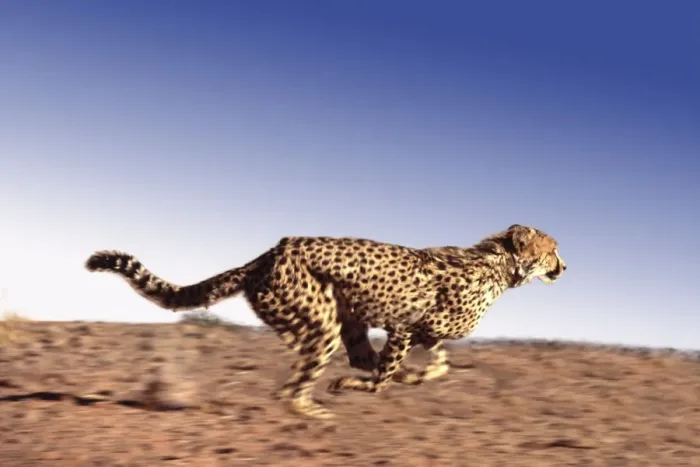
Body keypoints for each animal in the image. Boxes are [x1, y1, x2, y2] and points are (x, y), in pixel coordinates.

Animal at [85, 224, 566, 419]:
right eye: (552, 250)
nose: (564, 267)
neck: (499, 266)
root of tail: (269, 252)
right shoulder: (404, 327)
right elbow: (383, 379)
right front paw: (364, 385)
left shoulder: (420, 333)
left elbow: (437, 364)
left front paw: (418, 376)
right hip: (321, 325)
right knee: (291, 388)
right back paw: (315, 410)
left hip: (341, 318)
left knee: (354, 358)